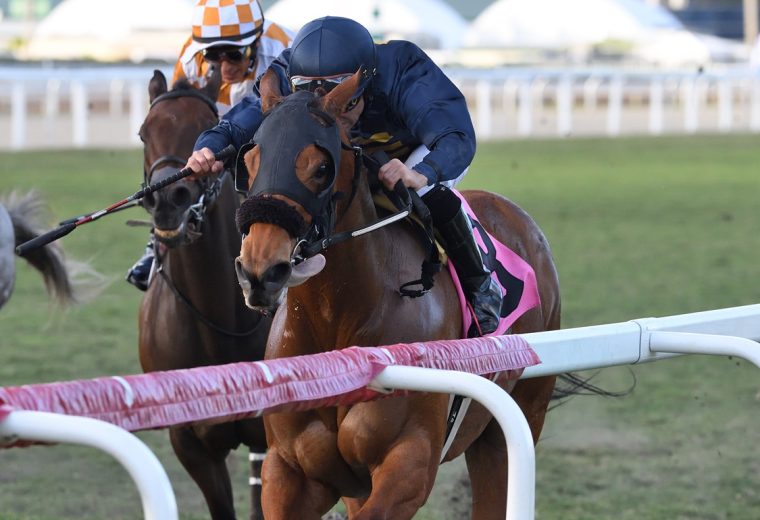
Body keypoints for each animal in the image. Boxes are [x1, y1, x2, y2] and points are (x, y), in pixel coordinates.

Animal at [235, 70, 560, 520]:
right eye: (250, 163)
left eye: (321, 167)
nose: (260, 272)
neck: (338, 319)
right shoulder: (291, 472)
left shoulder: (410, 463)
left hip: (512, 422)